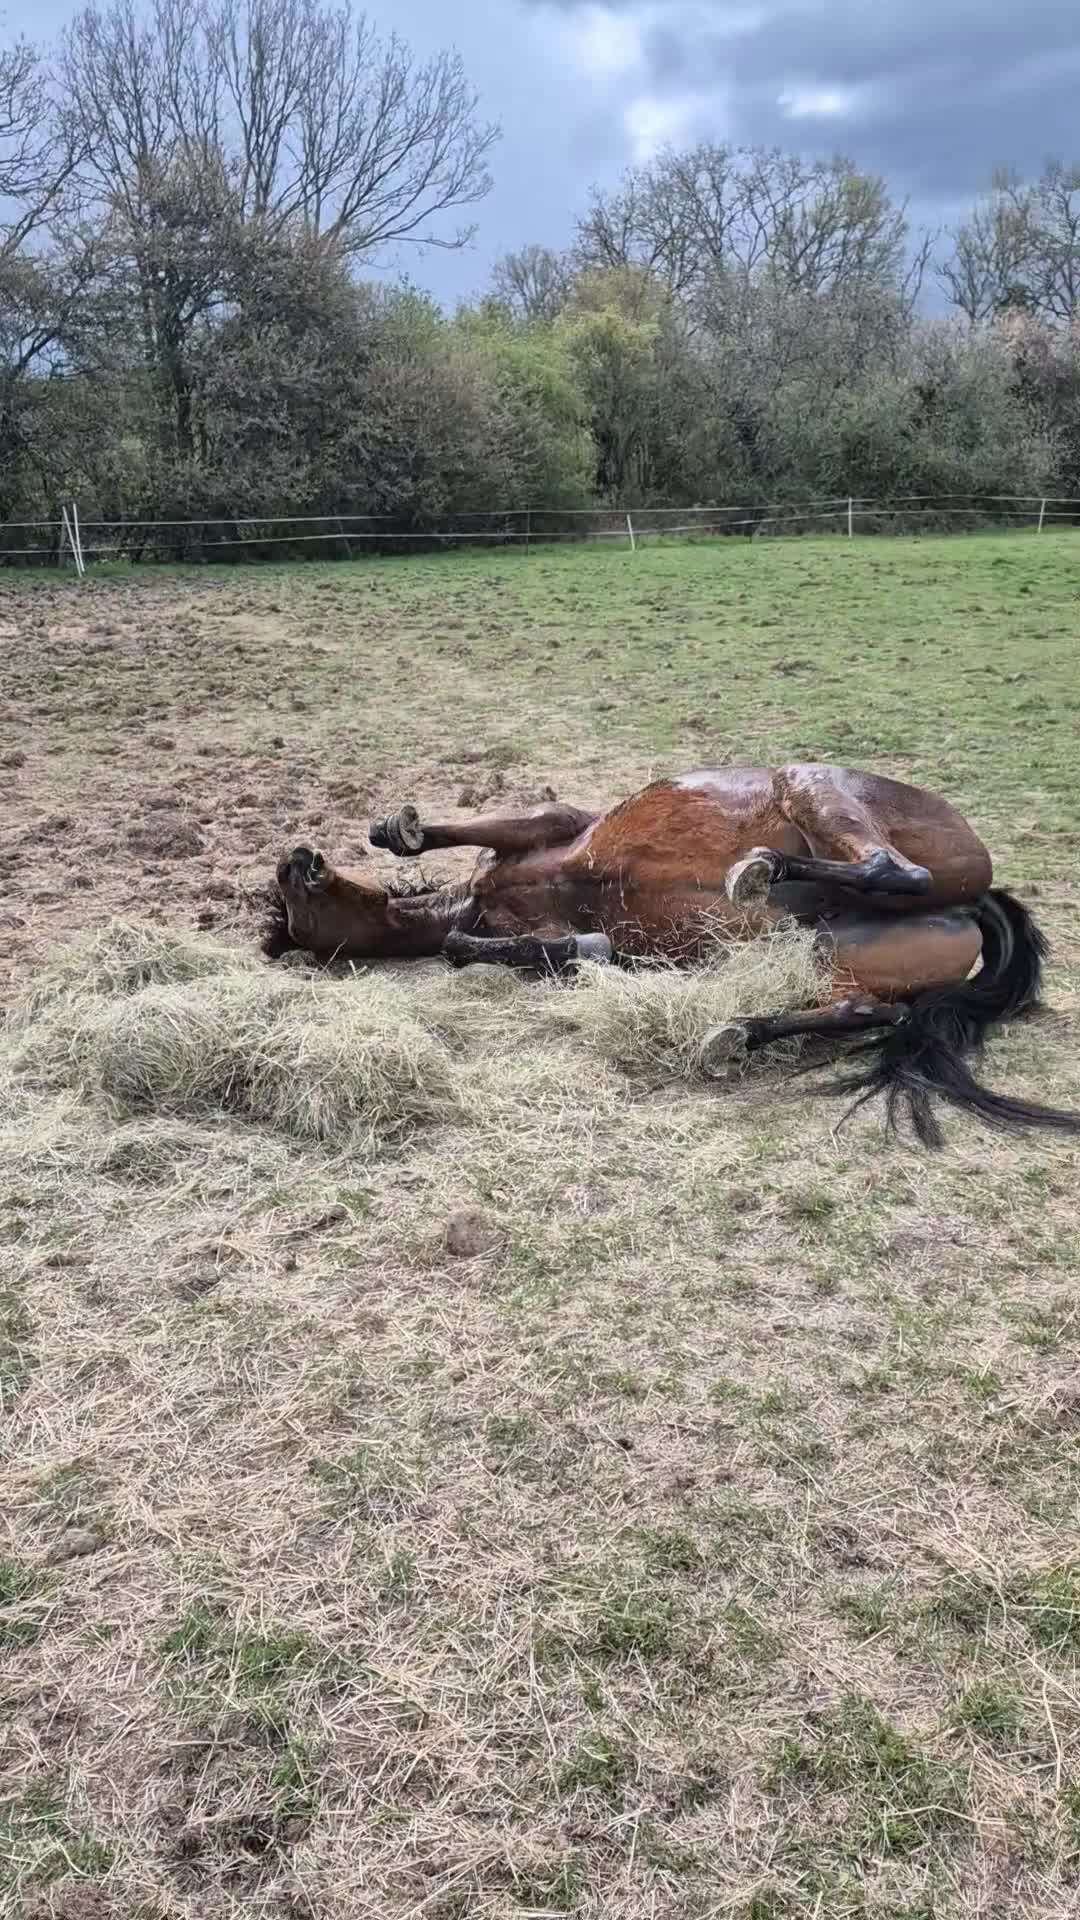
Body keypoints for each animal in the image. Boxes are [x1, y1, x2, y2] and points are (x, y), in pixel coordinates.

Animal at [265, 761, 1080, 1148]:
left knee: (891, 869)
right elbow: (529, 949)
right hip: (836, 950)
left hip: (815, 786)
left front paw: (394, 830)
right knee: (861, 1006)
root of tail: (977, 895)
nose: (296, 860)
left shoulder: (552, 824)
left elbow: (478, 835)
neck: (481, 899)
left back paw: (760, 872)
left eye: (288, 903)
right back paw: (738, 1031)